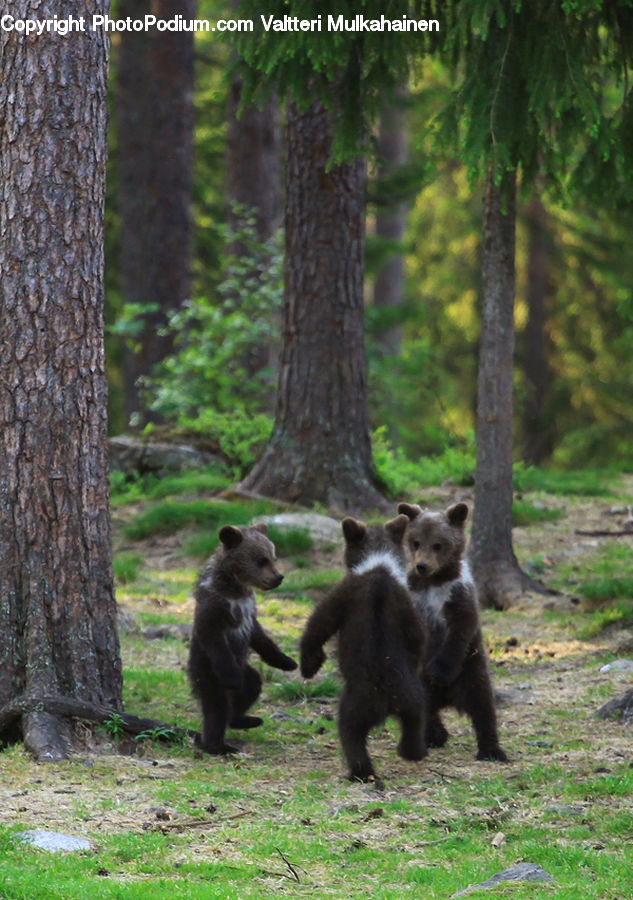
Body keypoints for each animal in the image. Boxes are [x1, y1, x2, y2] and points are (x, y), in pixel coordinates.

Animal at [188, 523, 297, 755]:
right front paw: (233, 678)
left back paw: (244, 719)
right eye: (261, 560)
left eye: (273, 557)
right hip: (207, 672)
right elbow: (214, 637)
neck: (236, 588)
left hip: (245, 669)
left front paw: (288, 662)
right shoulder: (215, 610)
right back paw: (218, 745)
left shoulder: (249, 611)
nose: (279, 577)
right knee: (216, 706)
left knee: (252, 684)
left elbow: (261, 638)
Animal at [300, 514, 428, 787]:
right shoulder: (407, 606)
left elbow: (318, 624)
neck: (378, 565)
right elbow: (418, 638)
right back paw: (413, 751)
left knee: (350, 734)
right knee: (415, 720)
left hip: (355, 703)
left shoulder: (343, 593)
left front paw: (309, 664)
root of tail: (385, 698)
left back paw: (360, 772)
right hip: (412, 694)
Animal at [397, 501, 507, 762]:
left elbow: (459, 630)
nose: (422, 566)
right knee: (423, 711)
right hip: (418, 686)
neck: (434, 582)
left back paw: (491, 750)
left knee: (483, 708)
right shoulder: (414, 598)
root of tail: (447, 699)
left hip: (470, 671)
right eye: (416, 542)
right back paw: (434, 735)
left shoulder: (458, 595)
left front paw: (439, 672)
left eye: (438, 544)